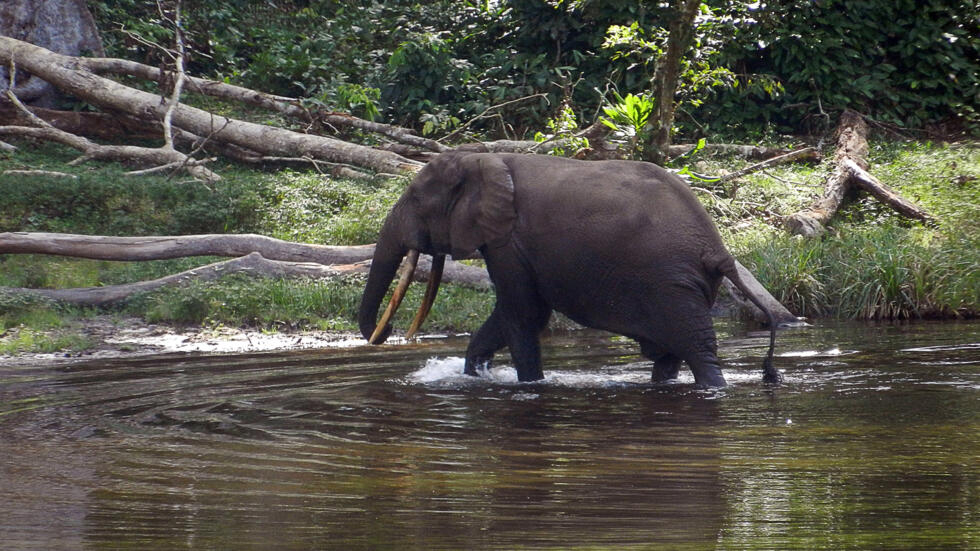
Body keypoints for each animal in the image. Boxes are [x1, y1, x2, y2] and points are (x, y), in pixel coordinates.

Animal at [360, 149, 780, 386]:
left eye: (416, 199)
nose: (390, 332)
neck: (484, 160)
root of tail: (716, 249)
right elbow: (512, 314)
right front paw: (475, 377)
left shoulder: (508, 241)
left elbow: (523, 313)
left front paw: (530, 386)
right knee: (669, 354)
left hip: (669, 283)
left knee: (696, 349)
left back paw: (713, 388)